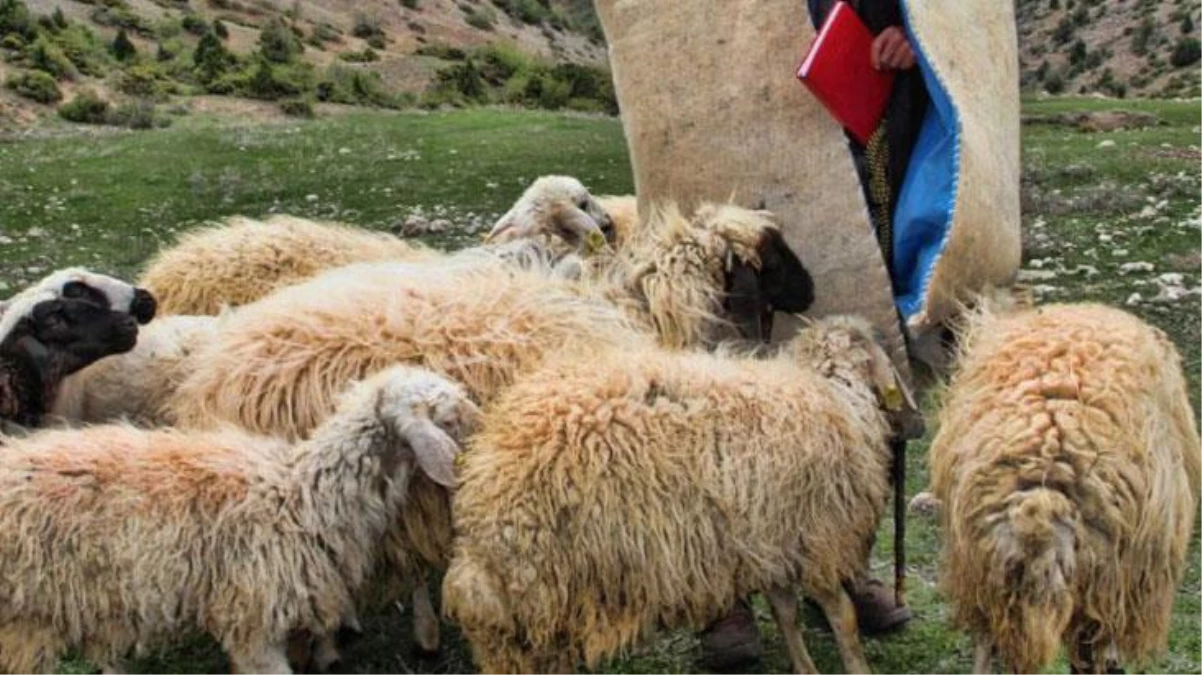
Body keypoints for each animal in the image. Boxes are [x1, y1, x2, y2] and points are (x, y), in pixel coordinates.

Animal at [447, 314, 913, 672]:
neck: (838, 396)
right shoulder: (817, 539)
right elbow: (843, 619)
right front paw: (855, 667)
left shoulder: (771, 540)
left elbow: (786, 613)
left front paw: (803, 667)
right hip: (544, 595)